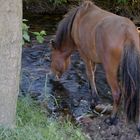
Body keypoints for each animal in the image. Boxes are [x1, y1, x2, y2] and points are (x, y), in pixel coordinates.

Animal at [50, 0, 140, 131]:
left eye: (52, 58)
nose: (52, 77)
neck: (77, 19)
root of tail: (128, 33)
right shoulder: (92, 57)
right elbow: (92, 72)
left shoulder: (84, 54)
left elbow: (90, 73)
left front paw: (94, 98)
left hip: (110, 70)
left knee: (117, 93)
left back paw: (112, 119)